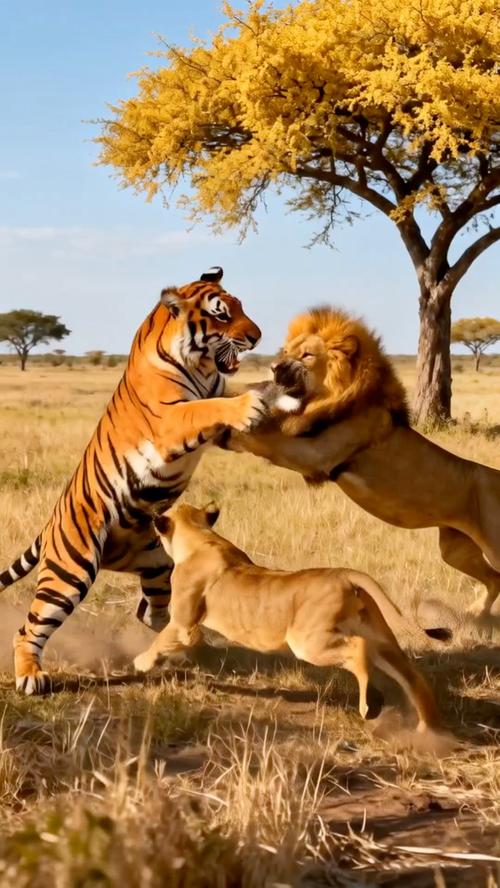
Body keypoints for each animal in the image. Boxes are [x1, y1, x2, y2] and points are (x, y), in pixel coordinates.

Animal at [0, 267, 266, 695]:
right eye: (222, 315)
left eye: (240, 307)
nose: (257, 337)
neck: (201, 365)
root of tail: (51, 523)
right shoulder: (172, 419)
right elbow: (210, 407)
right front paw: (252, 404)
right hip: (70, 571)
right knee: (29, 629)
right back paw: (30, 677)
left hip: (156, 563)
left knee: (151, 611)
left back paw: (184, 640)